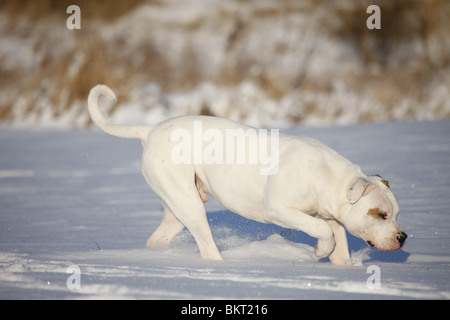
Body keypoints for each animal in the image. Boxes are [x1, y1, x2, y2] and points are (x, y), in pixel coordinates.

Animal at [86, 83, 406, 264]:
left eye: (396, 213)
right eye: (380, 214)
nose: (403, 236)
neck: (329, 178)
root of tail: (150, 129)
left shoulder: (331, 216)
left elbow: (337, 240)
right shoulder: (279, 210)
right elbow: (322, 230)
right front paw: (320, 252)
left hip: (177, 208)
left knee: (159, 238)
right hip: (189, 206)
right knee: (207, 248)